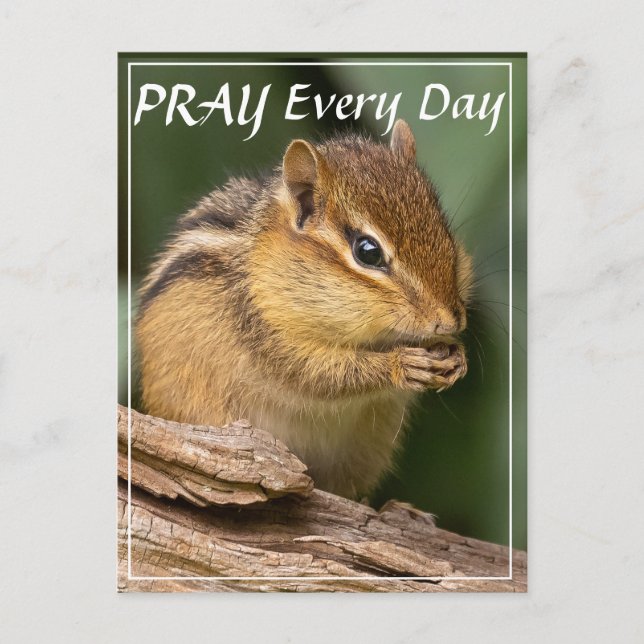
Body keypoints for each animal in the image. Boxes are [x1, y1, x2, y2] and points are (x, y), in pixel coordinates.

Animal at [135, 119, 473, 500]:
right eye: (367, 251)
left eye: (446, 233)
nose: (449, 320)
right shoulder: (263, 330)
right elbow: (316, 374)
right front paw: (400, 364)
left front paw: (457, 357)